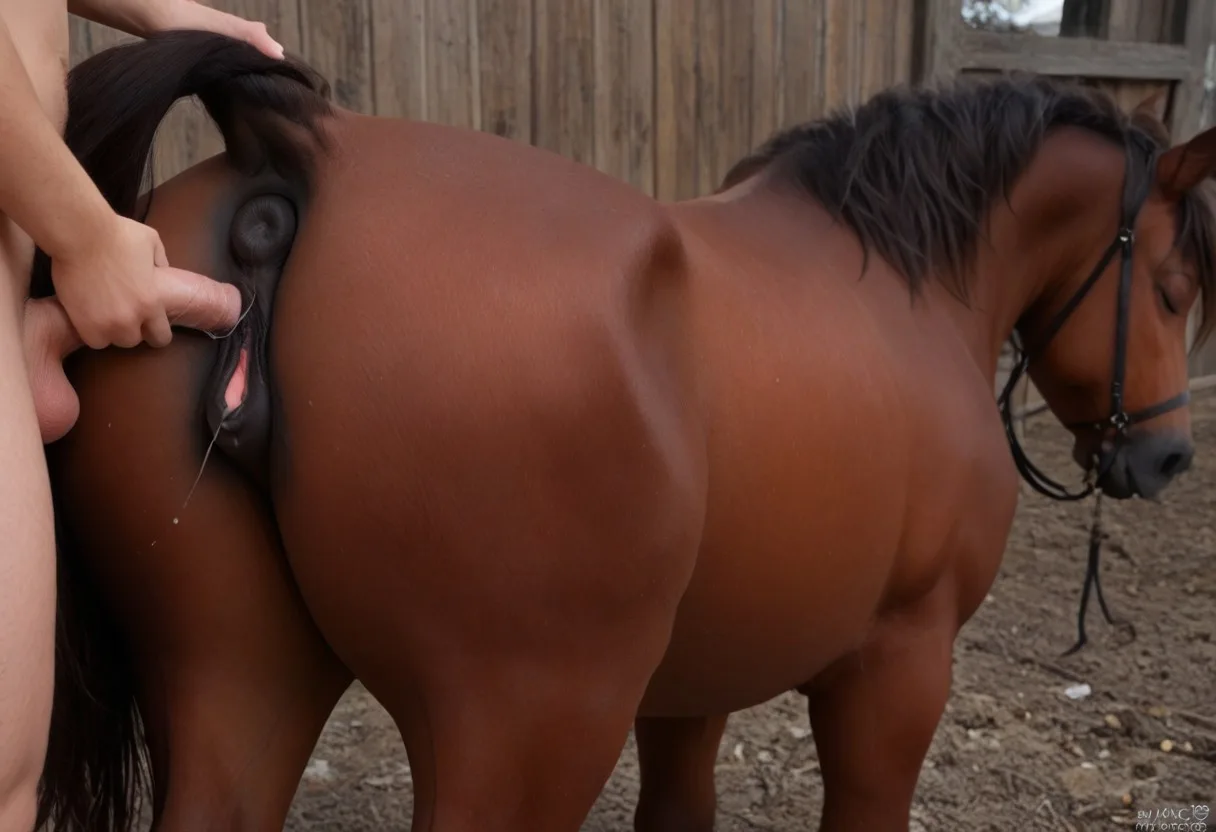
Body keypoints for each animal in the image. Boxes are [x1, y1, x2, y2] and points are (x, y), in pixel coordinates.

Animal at [33, 31, 1216, 832]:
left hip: (237, 680)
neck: (905, 285)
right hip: (530, 722)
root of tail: (304, 153)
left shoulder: (693, 684)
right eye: (1171, 288)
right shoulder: (898, 664)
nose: (1164, 455)